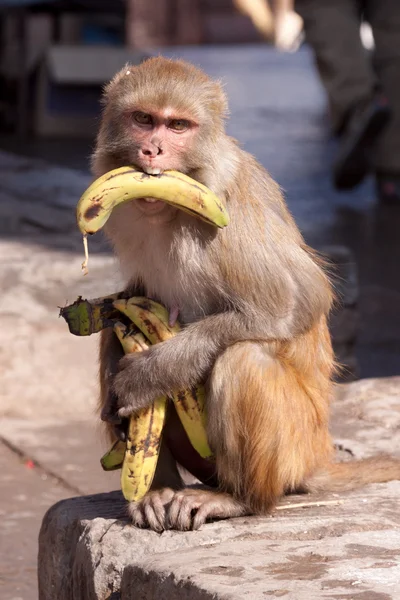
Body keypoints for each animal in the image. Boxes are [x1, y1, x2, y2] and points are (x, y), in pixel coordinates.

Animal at [92, 58, 400, 532]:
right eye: (143, 119)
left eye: (177, 126)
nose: (152, 151)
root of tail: (317, 457)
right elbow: (129, 303)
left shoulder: (228, 219)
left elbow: (295, 302)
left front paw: (148, 374)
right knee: (118, 331)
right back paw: (159, 489)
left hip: (294, 448)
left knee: (245, 358)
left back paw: (240, 499)